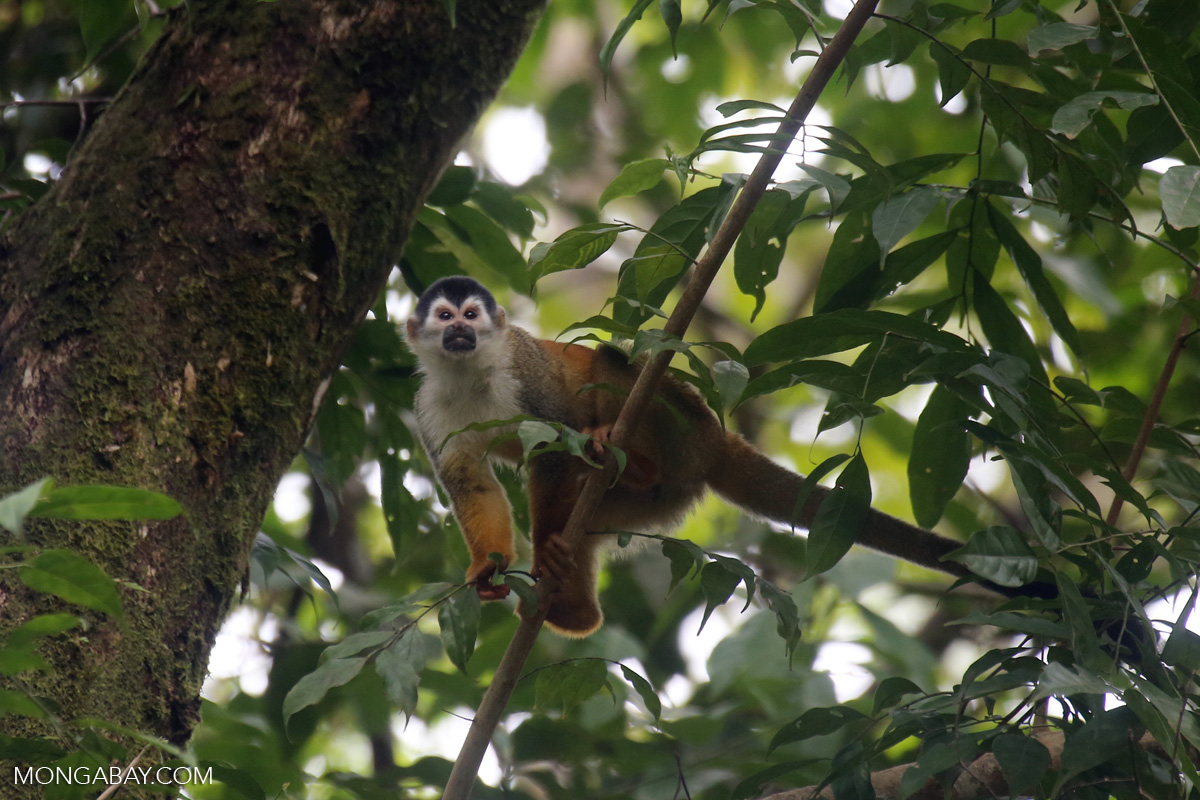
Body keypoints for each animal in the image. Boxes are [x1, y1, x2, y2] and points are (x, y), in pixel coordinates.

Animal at [404, 276, 1035, 637]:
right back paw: (575, 612)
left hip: (680, 423)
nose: (460, 332)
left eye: (471, 316)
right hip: (661, 501)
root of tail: (713, 441)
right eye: (445, 317)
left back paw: (620, 460)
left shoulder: (525, 373)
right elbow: (468, 481)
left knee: (612, 361)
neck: (471, 371)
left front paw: (544, 553)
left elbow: (553, 449)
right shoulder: (427, 405)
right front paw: (488, 568)